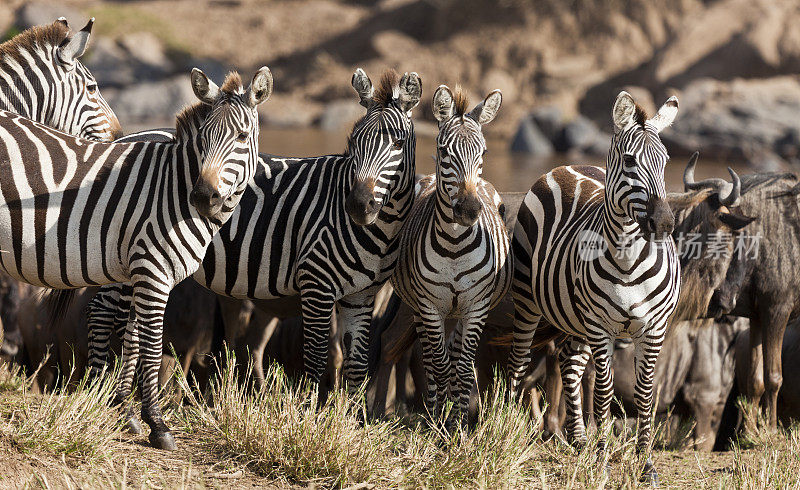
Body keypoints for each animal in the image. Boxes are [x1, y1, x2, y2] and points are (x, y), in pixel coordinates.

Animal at [1, 67, 274, 450]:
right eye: (204, 137)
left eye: (242, 135)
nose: (202, 197)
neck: (172, 190)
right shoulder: (153, 270)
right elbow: (154, 343)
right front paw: (157, 424)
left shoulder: (152, 272)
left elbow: (139, 337)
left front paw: (135, 412)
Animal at [86, 70, 422, 398]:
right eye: (354, 143)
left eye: (398, 144)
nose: (357, 205)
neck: (382, 229)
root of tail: (128, 136)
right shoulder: (316, 283)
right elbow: (316, 357)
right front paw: (310, 411)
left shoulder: (361, 296)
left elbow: (358, 364)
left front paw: (350, 414)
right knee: (102, 313)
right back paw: (101, 390)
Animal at [390, 86, 512, 426]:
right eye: (445, 151)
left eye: (483, 153)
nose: (469, 210)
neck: (455, 246)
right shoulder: (430, 306)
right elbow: (440, 366)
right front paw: (439, 422)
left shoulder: (477, 307)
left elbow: (462, 369)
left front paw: (457, 424)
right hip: (421, 309)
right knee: (431, 360)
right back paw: (434, 412)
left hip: (458, 312)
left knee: (455, 358)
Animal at [510, 92, 680, 482]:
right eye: (630, 161)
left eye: (665, 161)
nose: (664, 224)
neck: (629, 257)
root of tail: (568, 166)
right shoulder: (602, 328)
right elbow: (603, 394)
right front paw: (602, 464)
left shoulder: (654, 329)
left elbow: (645, 395)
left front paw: (645, 466)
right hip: (528, 300)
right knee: (519, 360)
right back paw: (498, 426)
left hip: (575, 317)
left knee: (569, 364)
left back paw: (579, 440)